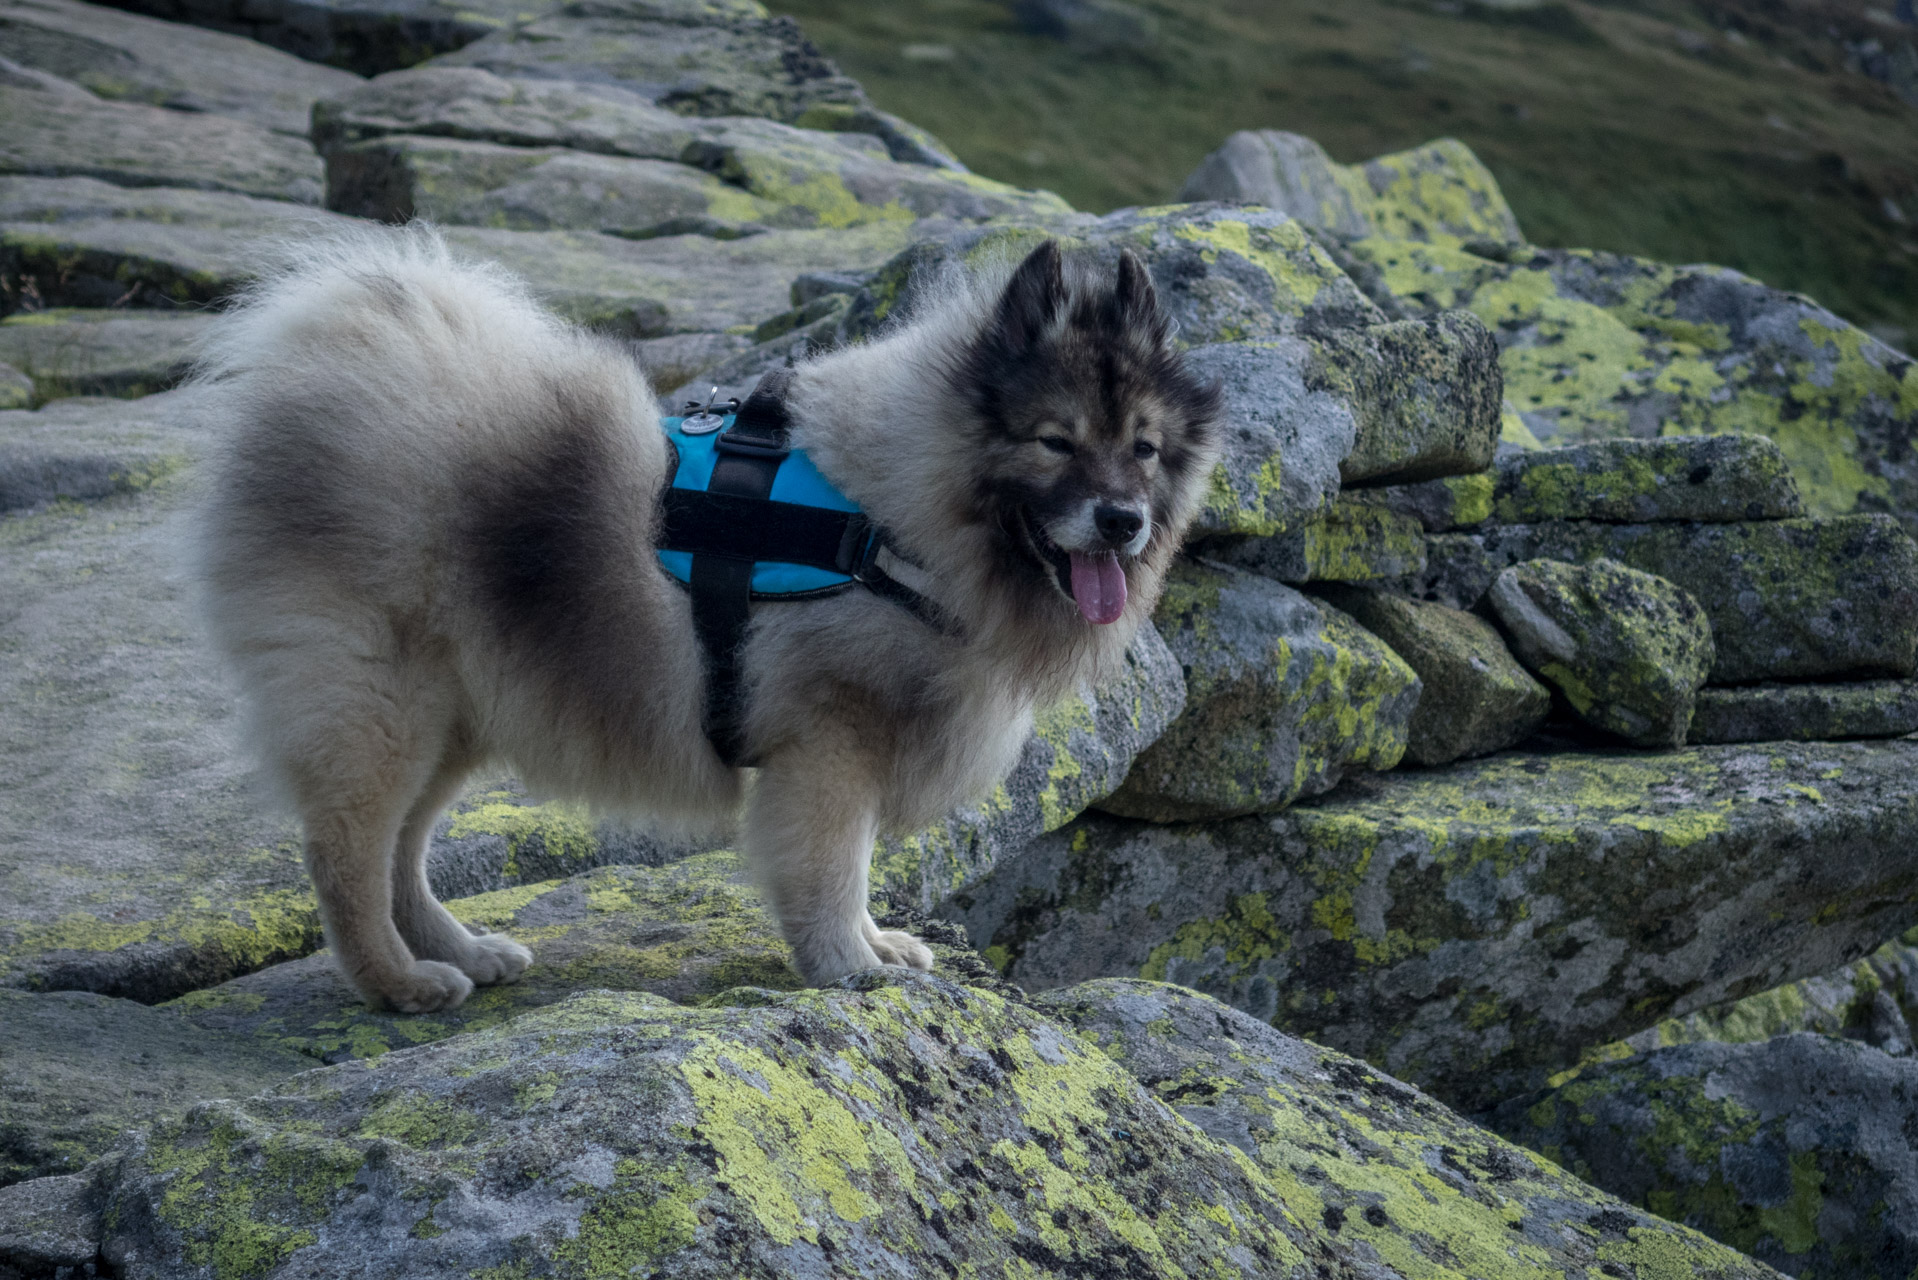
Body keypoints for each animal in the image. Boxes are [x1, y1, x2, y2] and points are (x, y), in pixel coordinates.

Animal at [190, 227, 1212, 1013]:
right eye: (1055, 442)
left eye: (1144, 449)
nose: (1122, 522)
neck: (892, 515)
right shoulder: (828, 747)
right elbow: (831, 867)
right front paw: (849, 966)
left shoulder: (849, 751)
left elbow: (857, 866)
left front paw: (877, 946)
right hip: (382, 710)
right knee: (348, 856)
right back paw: (397, 983)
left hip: (454, 718)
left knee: (404, 851)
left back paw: (462, 951)